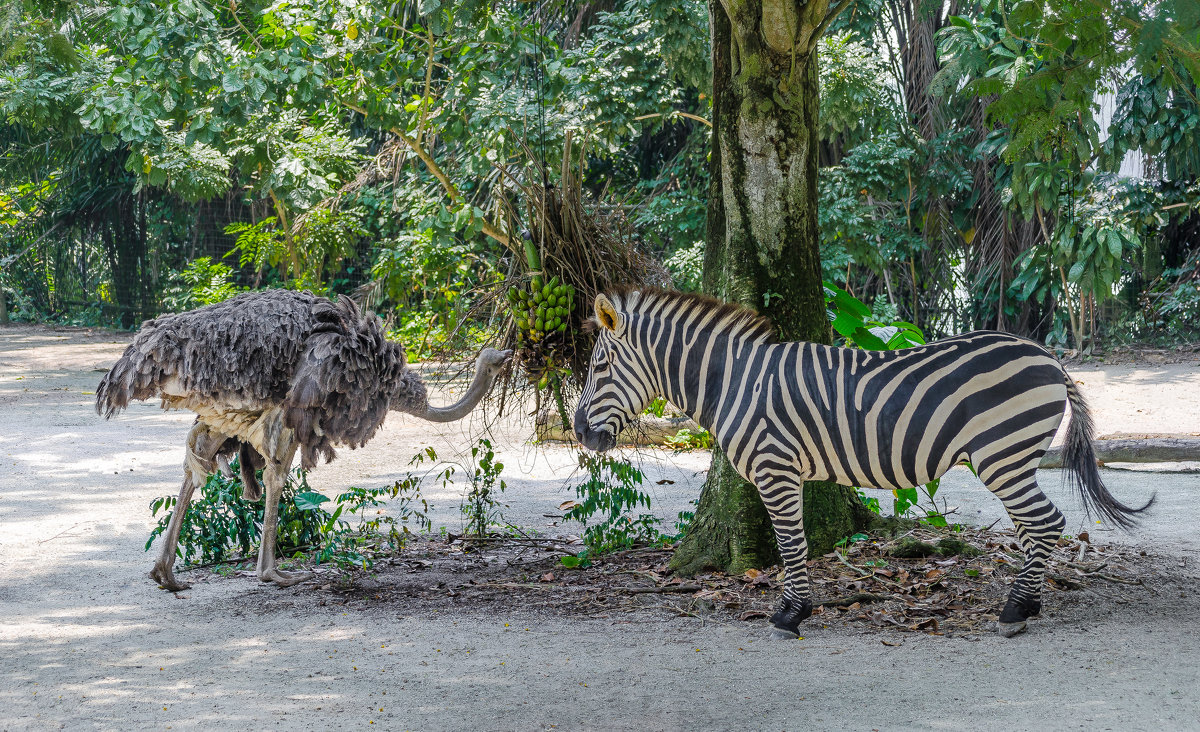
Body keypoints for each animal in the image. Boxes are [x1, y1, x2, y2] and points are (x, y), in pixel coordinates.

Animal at [573, 288, 1152, 633]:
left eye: (598, 367)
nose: (578, 432)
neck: (733, 381)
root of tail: (1048, 356)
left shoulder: (775, 467)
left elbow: (791, 543)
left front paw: (790, 613)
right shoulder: (787, 471)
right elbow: (797, 541)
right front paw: (797, 608)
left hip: (1000, 455)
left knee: (1045, 521)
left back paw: (1015, 610)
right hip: (1011, 457)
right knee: (1037, 526)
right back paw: (1026, 603)